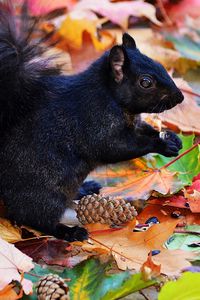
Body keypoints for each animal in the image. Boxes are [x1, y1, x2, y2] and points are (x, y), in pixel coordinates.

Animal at [0, 2, 184, 241]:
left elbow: (144, 129)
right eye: (146, 82)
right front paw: (160, 144)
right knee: (34, 217)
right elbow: (117, 147)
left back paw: (85, 189)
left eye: (161, 65)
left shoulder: (133, 123)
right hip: (43, 192)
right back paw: (68, 231)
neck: (111, 97)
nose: (180, 97)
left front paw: (171, 138)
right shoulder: (96, 124)